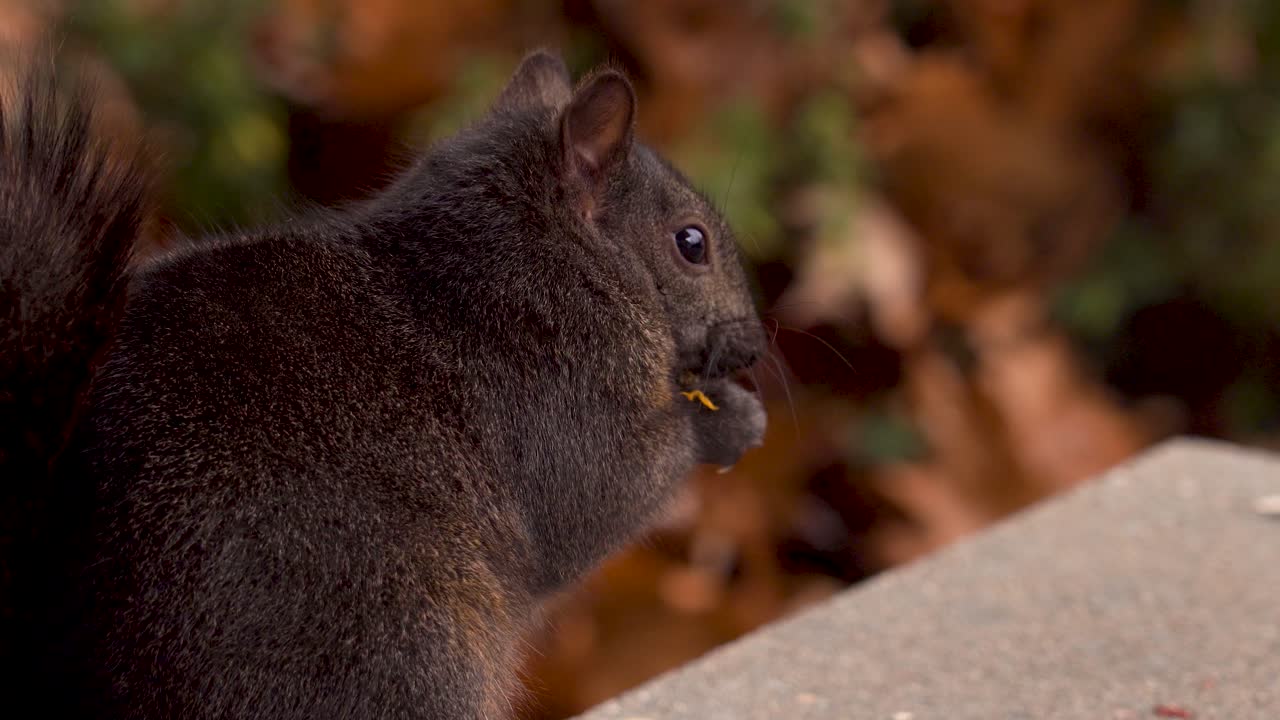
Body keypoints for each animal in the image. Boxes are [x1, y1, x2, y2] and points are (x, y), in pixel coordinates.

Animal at [1, 48, 767, 719]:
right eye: (691, 243)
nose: (757, 345)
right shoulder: (561, 401)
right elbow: (610, 492)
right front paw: (728, 420)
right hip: (392, 649)